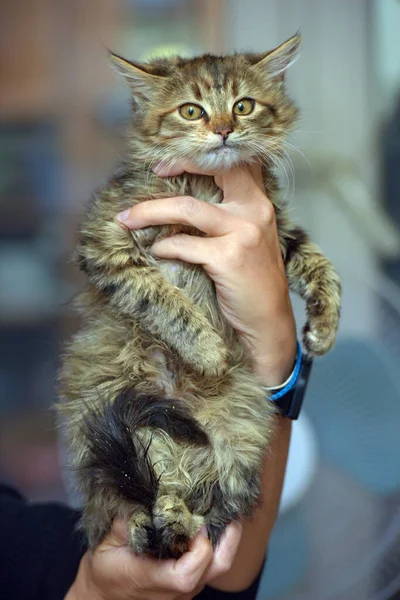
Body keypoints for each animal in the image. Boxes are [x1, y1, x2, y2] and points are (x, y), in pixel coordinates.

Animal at [58, 32, 340, 556]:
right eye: (192, 111)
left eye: (243, 106)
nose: (224, 130)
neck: (208, 188)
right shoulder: (107, 242)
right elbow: (162, 299)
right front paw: (207, 352)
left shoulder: (278, 233)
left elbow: (321, 264)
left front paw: (324, 328)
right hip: (108, 419)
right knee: (134, 494)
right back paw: (151, 523)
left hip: (238, 433)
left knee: (212, 500)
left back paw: (176, 521)